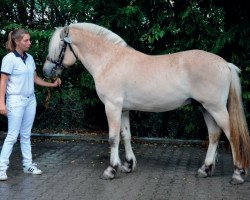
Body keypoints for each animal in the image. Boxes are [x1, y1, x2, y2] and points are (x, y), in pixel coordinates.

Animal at [43, 22, 250, 184]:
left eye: (59, 46)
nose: (46, 71)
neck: (109, 61)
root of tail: (225, 64)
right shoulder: (123, 110)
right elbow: (126, 135)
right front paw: (128, 165)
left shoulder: (112, 107)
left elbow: (113, 138)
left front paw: (111, 170)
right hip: (206, 109)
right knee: (214, 135)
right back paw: (205, 169)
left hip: (216, 109)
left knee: (231, 135)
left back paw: (238, 174)